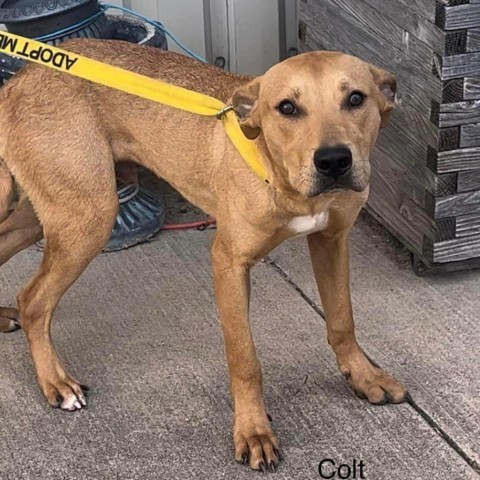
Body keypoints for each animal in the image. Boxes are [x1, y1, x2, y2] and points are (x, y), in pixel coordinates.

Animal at [0, 41, 404, 472]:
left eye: (356, 99)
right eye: (287, 108)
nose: (333, 161)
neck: (279, 175)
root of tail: (19, 79)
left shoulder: (332, 240)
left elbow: (343, 320)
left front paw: (363, 376)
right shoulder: (228, 264)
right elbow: (245, 359)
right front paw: (253, 430)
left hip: (49, 213)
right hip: (88, 216)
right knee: (33, 302)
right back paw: (56, 383)